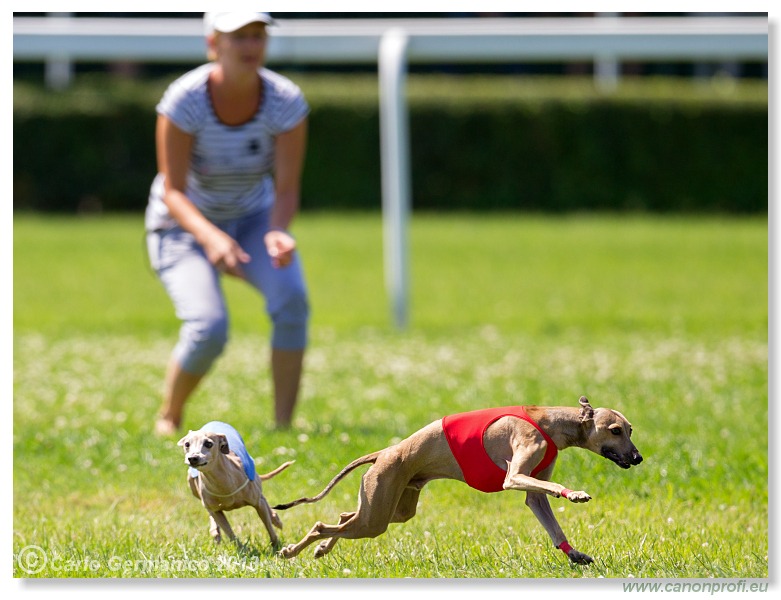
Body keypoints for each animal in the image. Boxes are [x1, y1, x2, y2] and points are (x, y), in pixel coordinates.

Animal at [274, 398, 640, 564]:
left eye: (630, 429)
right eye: (614, 430)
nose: (637, 458)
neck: (551, 421)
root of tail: (385, 453)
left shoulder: (533, 492)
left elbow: (549, 518)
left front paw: (574, 553)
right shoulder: (517, 473)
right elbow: (539, 486)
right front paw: (574, 494)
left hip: (392, 507)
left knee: (342, 517)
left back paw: (320, 548)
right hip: (378, 513)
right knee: (322, 524)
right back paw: (292, 550)